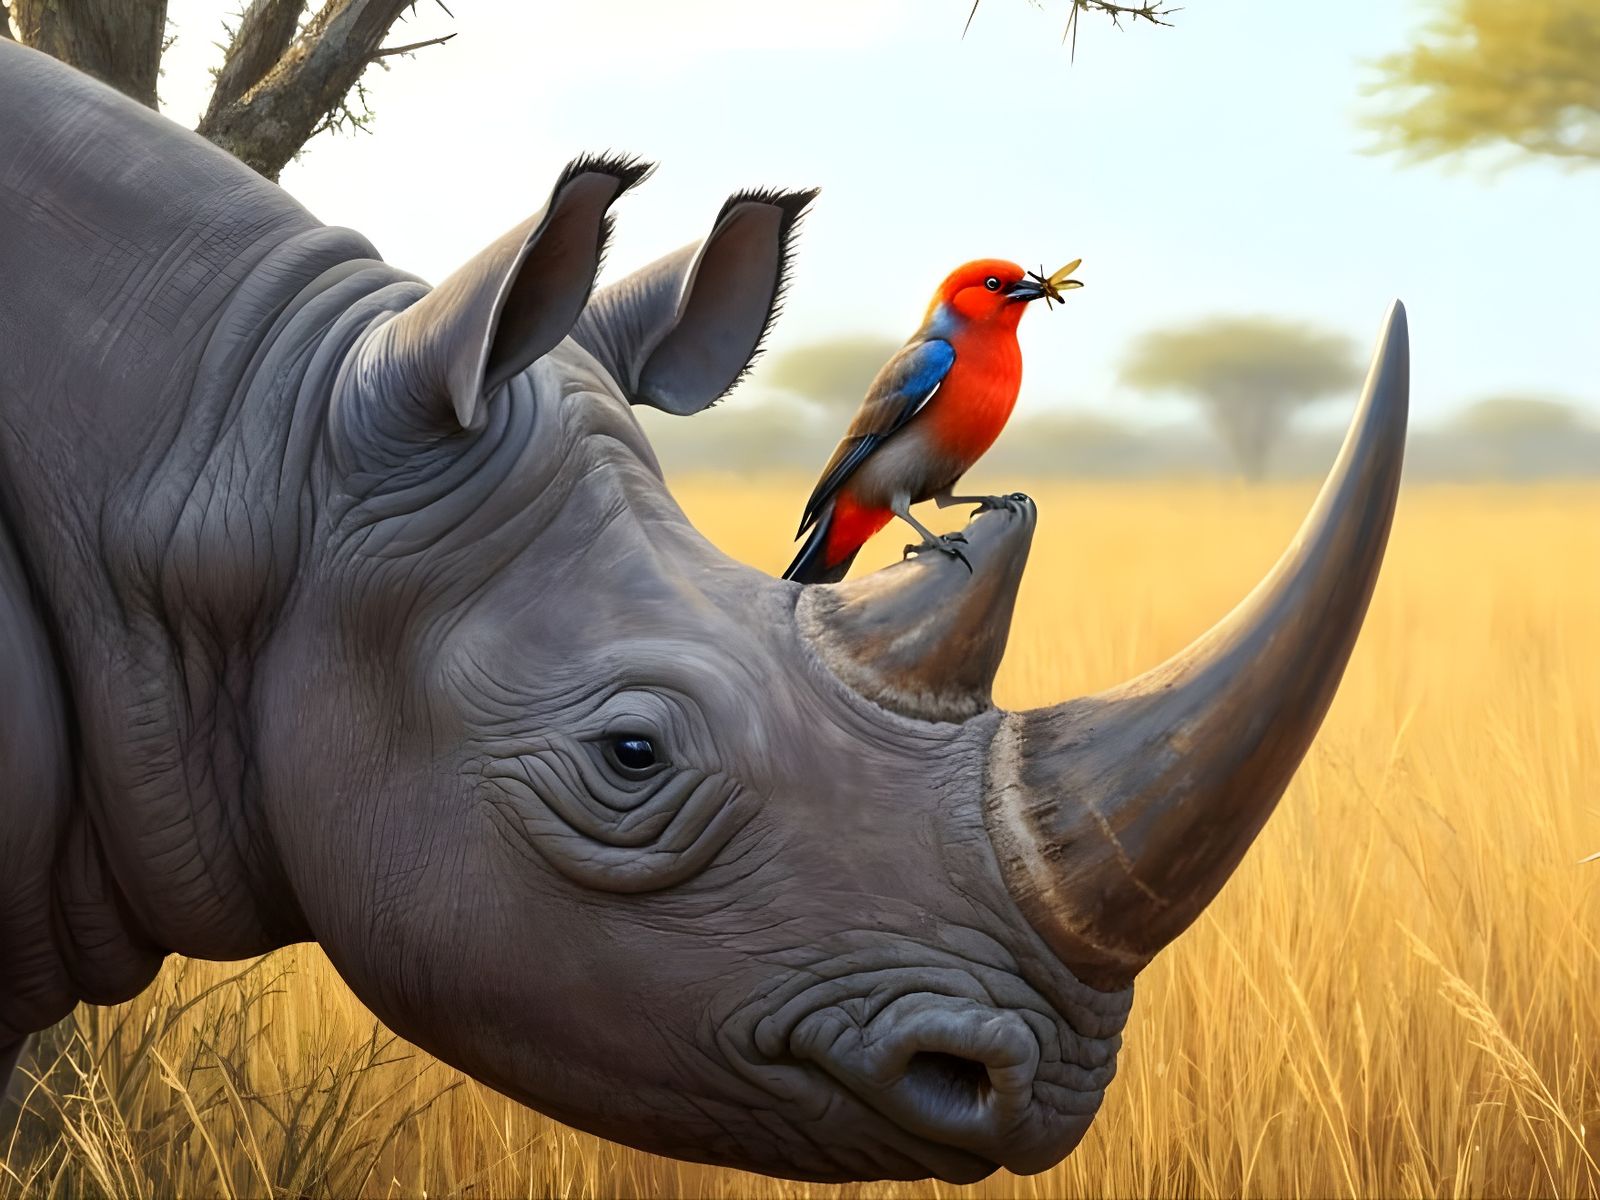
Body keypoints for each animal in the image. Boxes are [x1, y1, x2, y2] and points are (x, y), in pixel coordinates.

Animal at [0, 39, 1409, 1183]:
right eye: (630, 756)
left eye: (1021, 285)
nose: (1042, 1087)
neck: (248, 439)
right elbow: (894, 494)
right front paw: (940, 535)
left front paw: (994, 498)